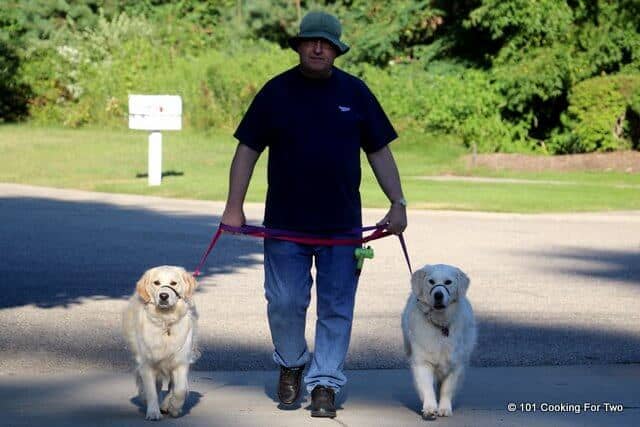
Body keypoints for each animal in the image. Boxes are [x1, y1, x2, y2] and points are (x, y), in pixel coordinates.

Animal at [122, 266, 198, 420]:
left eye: (174, 283)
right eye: (156, 283)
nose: (163, 296)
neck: (165, 321)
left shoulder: (181, 360)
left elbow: (180, 389)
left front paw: (174, 407)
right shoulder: (147, 363)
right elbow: (151, 391)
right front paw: (153, 412)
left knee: (172, 386)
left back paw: (167, 404)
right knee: (156, 386)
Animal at [402, 266, 478, 420]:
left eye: (448, 282)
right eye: (431, 281)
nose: (438, 295)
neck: (440, 323)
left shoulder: (456, 365)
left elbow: (446, 389)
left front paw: (444, 408)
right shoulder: (422, 362)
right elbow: (427, 387)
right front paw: (430, 408)